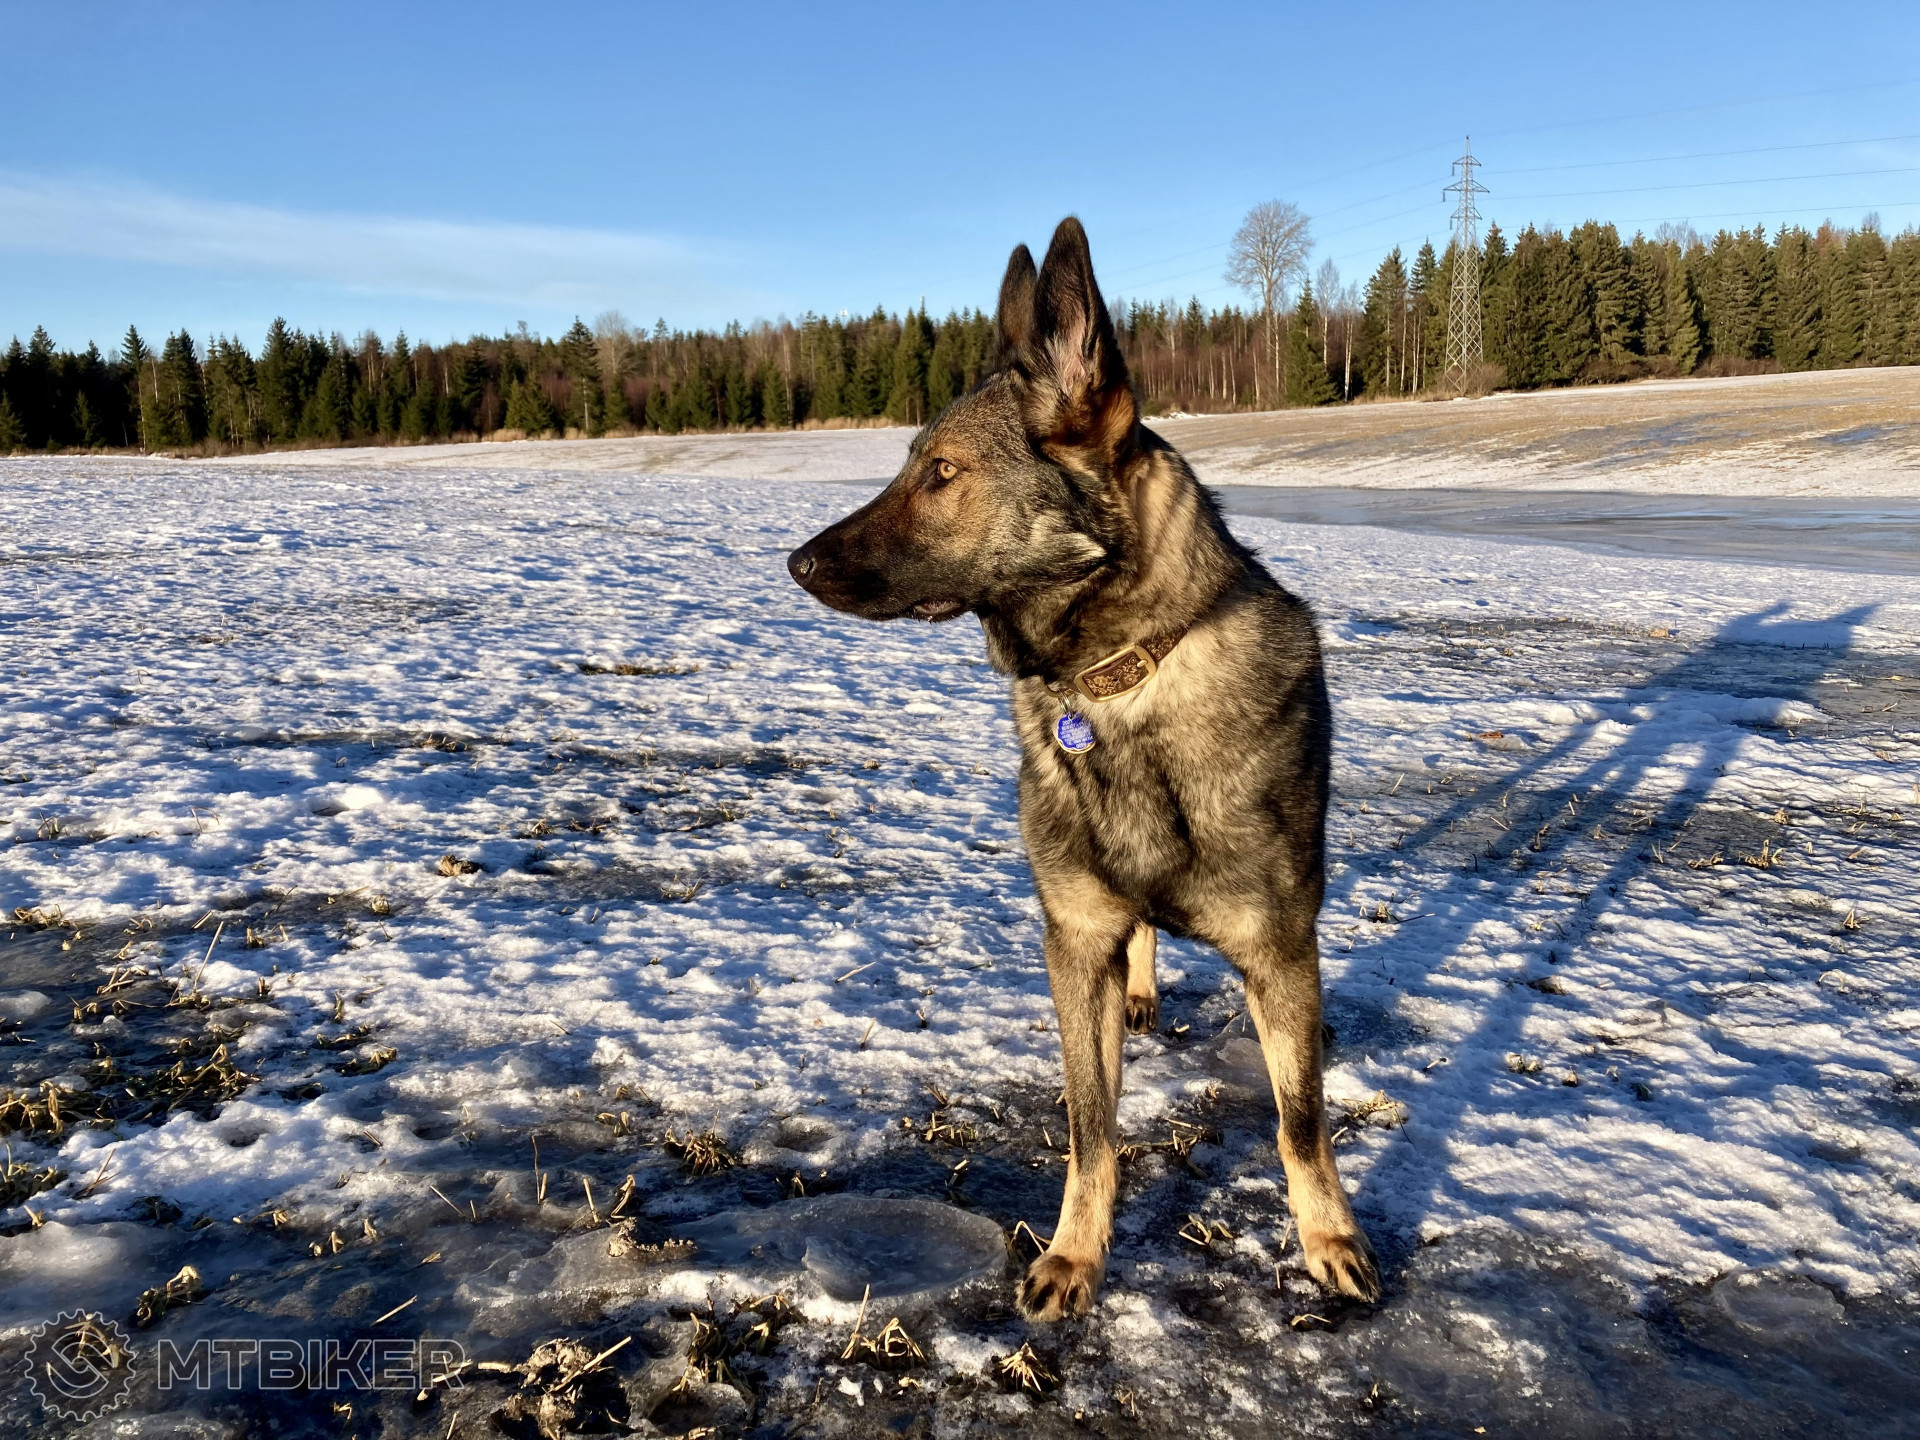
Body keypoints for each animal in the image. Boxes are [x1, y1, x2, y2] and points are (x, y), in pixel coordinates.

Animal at [787, 217, 1379, 1320]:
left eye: (942, 472)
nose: (796, 563)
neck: (1117, 680)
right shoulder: (1075, 941)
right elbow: (1090, 1124)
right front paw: (1074, 1254)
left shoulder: (1282, 949)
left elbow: (1300, 1119)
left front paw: (1330, 1238)